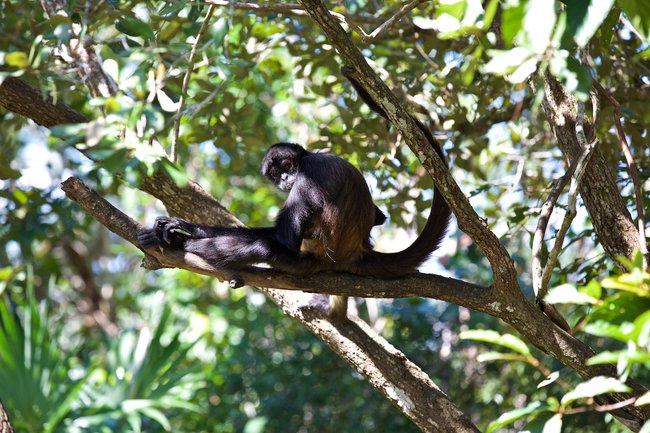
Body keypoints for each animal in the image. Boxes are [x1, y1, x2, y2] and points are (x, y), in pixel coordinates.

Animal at [138, 66, 450, 318]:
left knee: (267, 247)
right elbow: (379, 217)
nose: (286, 177)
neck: (308, 158)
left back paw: (185, 247)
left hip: (313, 257)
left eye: (288, 165)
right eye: (276, 175)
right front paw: (180, 226)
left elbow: (284, 239)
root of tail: (354, 253)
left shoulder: (310, 172)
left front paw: (182, 237)